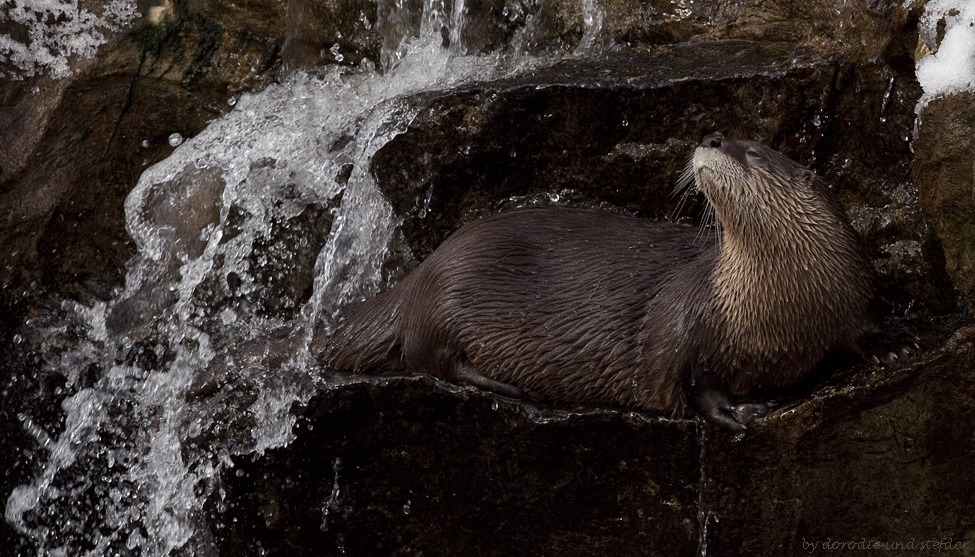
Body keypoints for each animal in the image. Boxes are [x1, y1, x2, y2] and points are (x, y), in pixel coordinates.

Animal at [324, 135, 920, 430]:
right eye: (727, 136)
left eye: (753, 151)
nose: (712, 136)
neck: (781, 305)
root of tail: (420, 272)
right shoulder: (691, 326)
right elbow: (697, 384)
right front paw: (740, 411)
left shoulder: (847, 288)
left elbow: (863, 325)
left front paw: (892, 343)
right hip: (447, 295)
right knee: (431, 358)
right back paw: (513, 386)